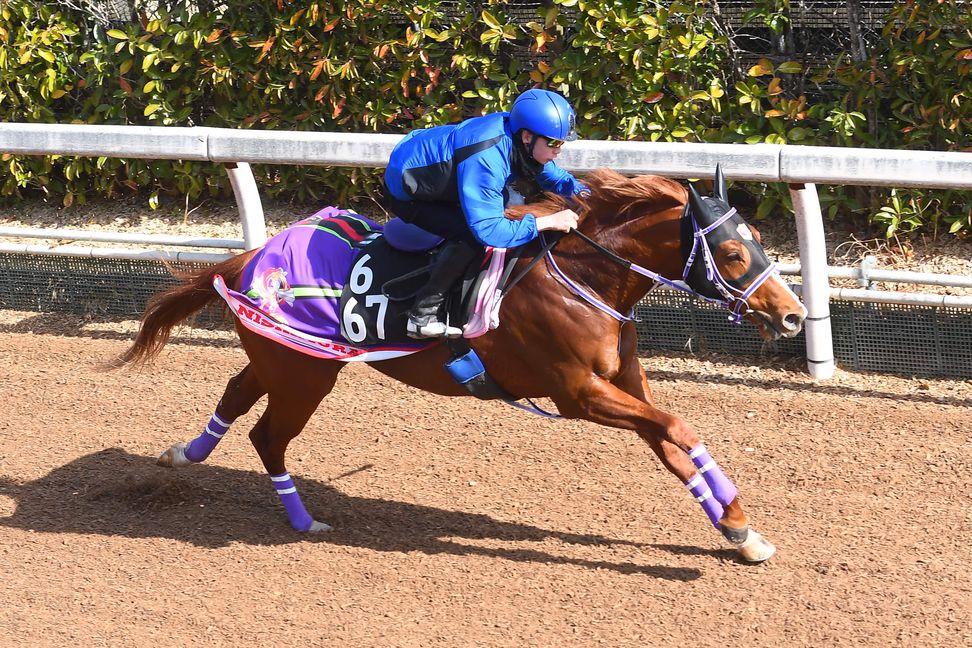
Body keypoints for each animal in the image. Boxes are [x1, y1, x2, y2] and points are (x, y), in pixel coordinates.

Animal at [117, 166, 808, 560]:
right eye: (733, 254)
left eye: (756, 241)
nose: (794, 315)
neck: (585, 278)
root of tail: (249, 259)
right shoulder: (577, 394)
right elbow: (678, 430)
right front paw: (738, 522)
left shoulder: (625, 382)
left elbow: (674, 445)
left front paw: (741, 531)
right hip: (307, 376)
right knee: (267, 435)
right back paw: (304, 520)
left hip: (285, 361)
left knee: (236, 396)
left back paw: (185, 454)